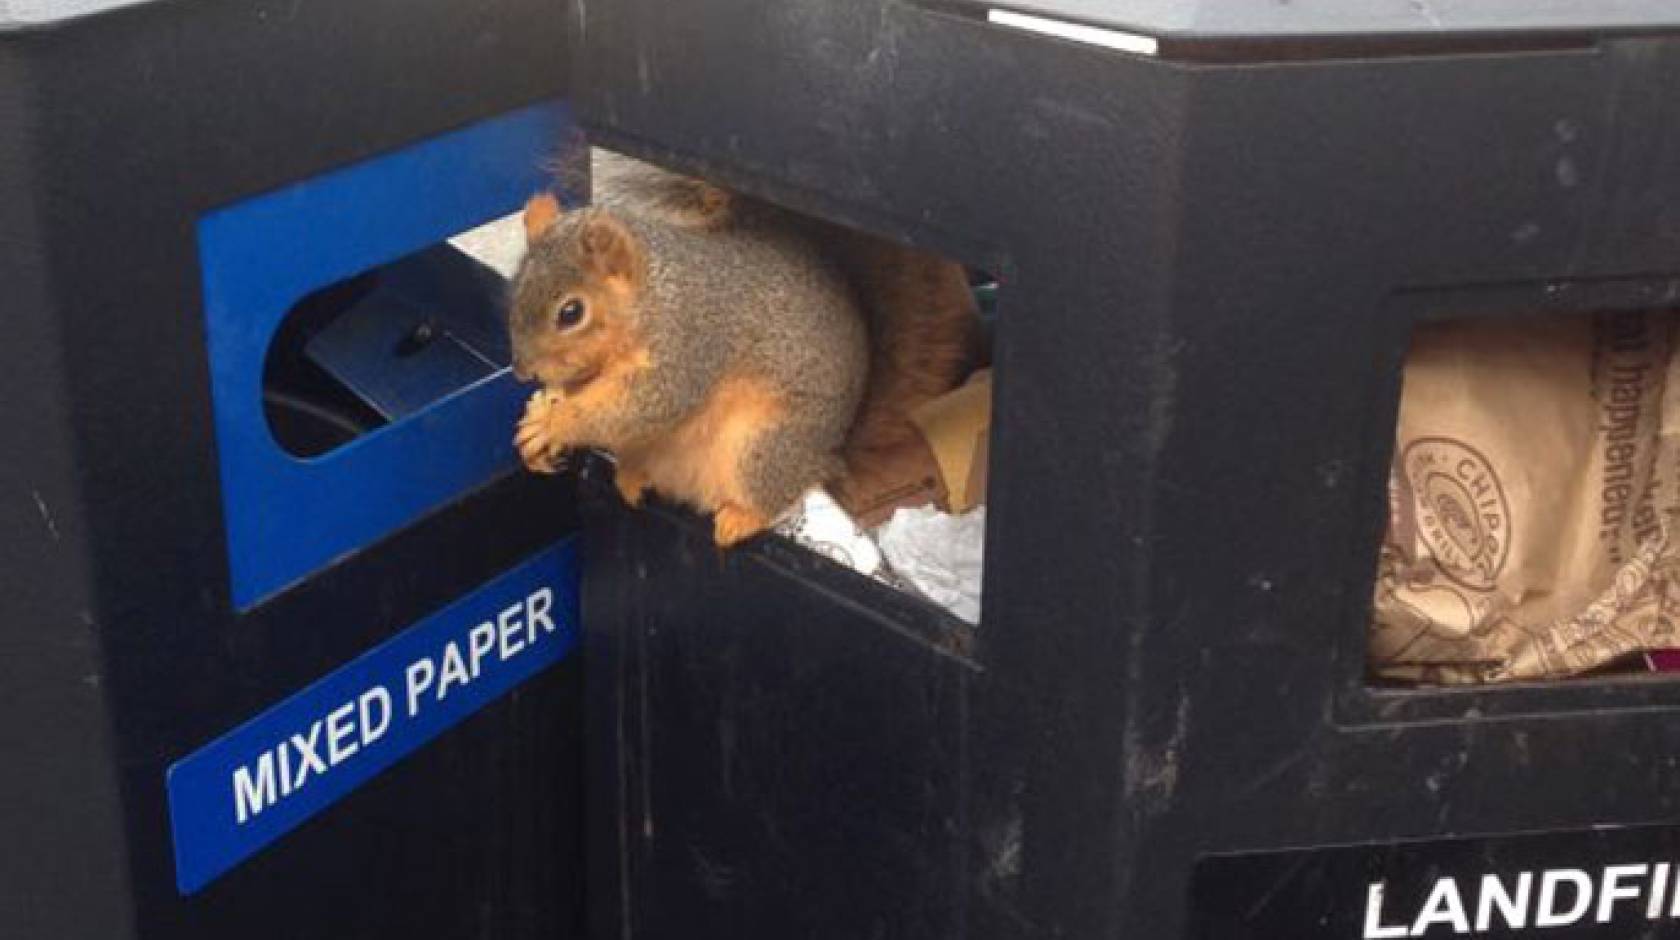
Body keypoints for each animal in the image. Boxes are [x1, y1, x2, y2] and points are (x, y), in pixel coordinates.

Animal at [510, 151, 981, 547]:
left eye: (571, 312)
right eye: (515, 288)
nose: (523, 372)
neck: (652, 297)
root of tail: (828, 460)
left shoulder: (690, 345)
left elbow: (643, 405)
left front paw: (555, 422)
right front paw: (541, 412)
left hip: (760, 447)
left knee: (772, 494)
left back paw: (740, 519)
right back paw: (631, 478)